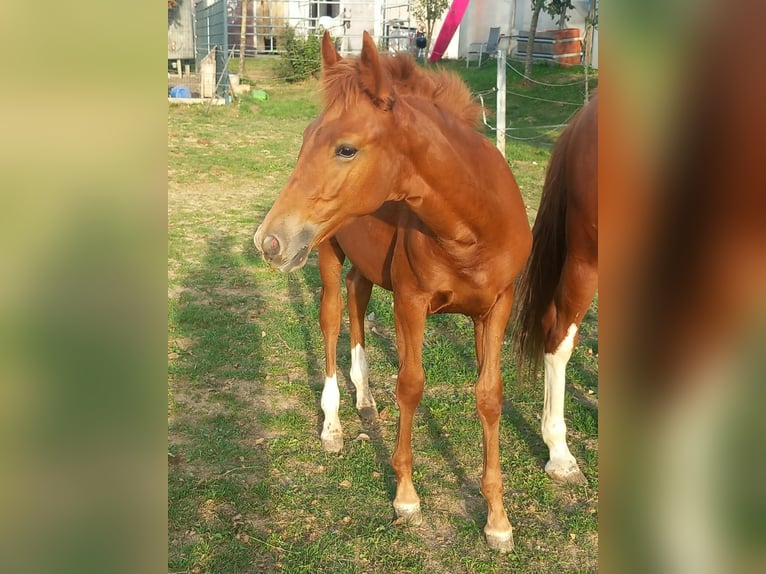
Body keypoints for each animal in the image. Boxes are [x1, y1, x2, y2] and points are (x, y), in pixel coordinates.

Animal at [254, 31, 531, 552]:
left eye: (346, 149)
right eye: (306, 140)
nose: (268, 241)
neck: (472, 227)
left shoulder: (497, 307)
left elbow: (489, 394)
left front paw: (498, 520)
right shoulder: (410, 302)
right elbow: (411, 384)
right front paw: (405, 495)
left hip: (363, 266)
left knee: (357, 300)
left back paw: (364, 396)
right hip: (324, 253)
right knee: (330, 321)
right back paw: (333, 425)